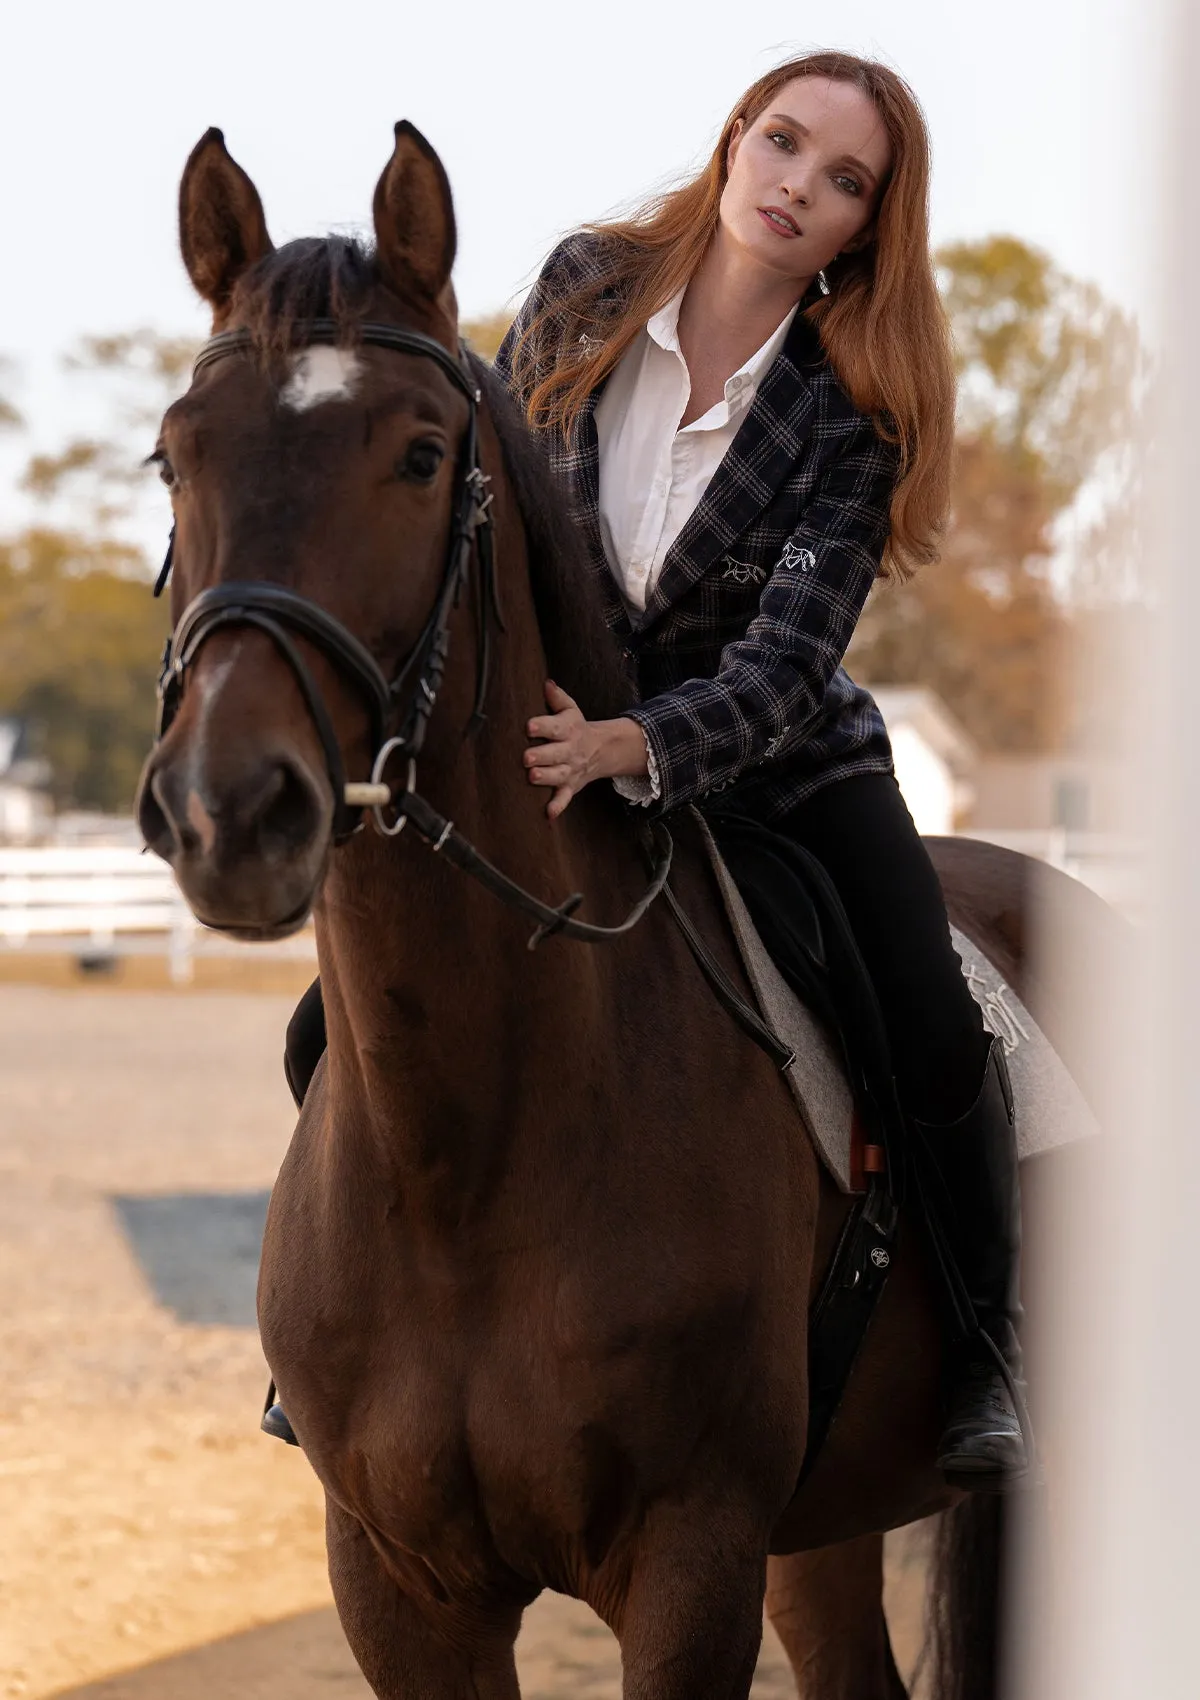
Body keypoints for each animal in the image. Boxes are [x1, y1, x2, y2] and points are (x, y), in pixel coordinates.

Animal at [135, 123, 1108, 1700]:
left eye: (421, 458)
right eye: (176, 455)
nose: (231, 809)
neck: (469, 1158)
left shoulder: (688, 1564)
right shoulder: (401, 1588)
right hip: (825, 1525)